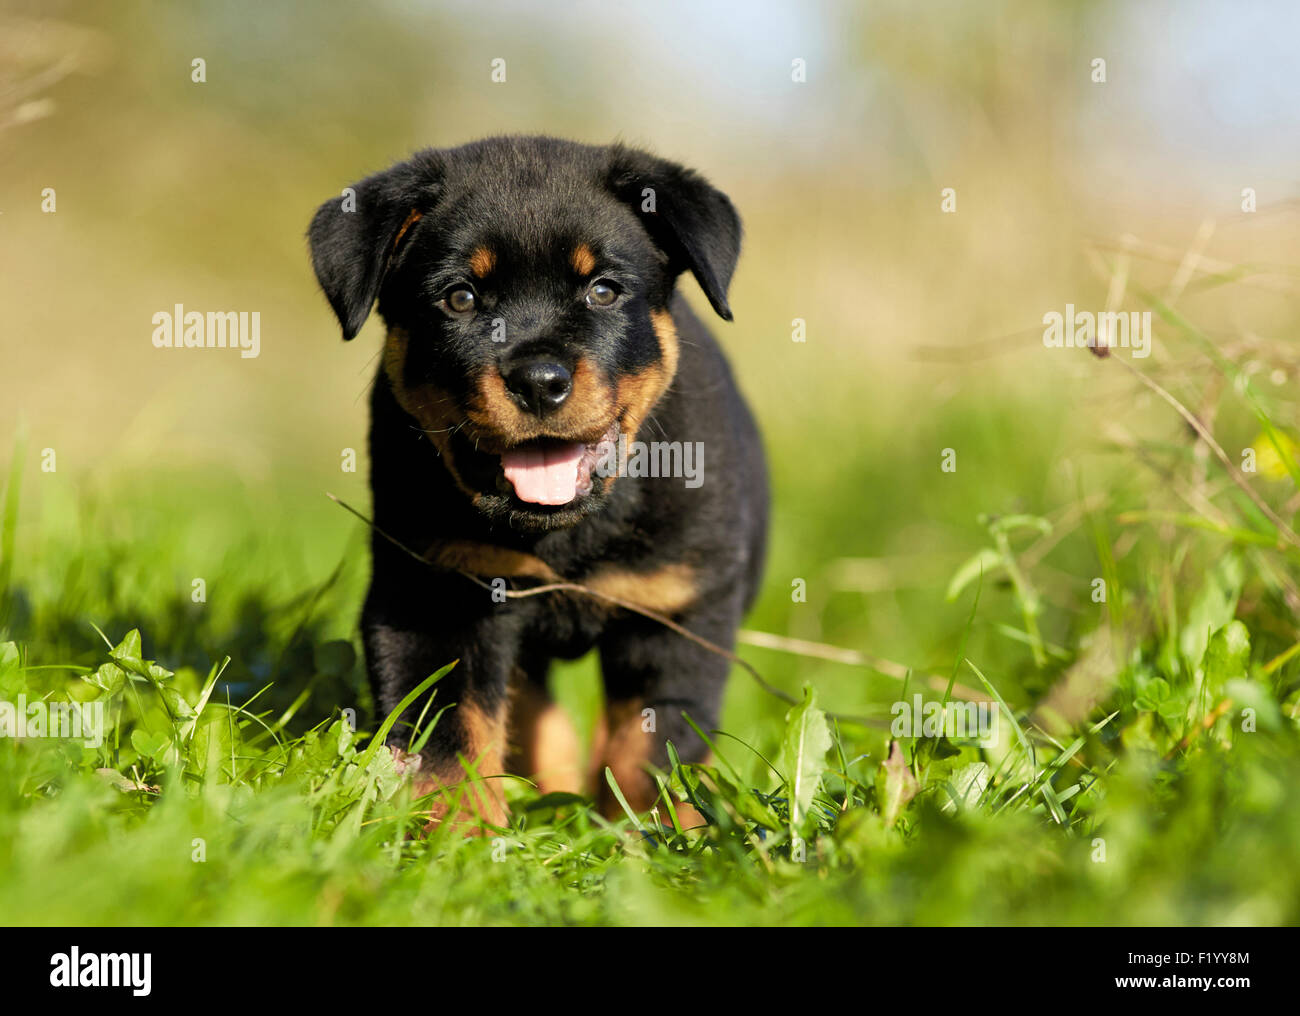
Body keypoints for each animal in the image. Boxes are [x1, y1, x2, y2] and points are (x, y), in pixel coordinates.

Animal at [308, 135, 764, 826]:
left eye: (603, 290)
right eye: (460, 298)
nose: (539, 382)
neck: (564, 533)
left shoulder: (676, 613)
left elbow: (651, 751)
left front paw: (649, 836)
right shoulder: (436, 593)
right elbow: (449, 739)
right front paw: (460, 835)